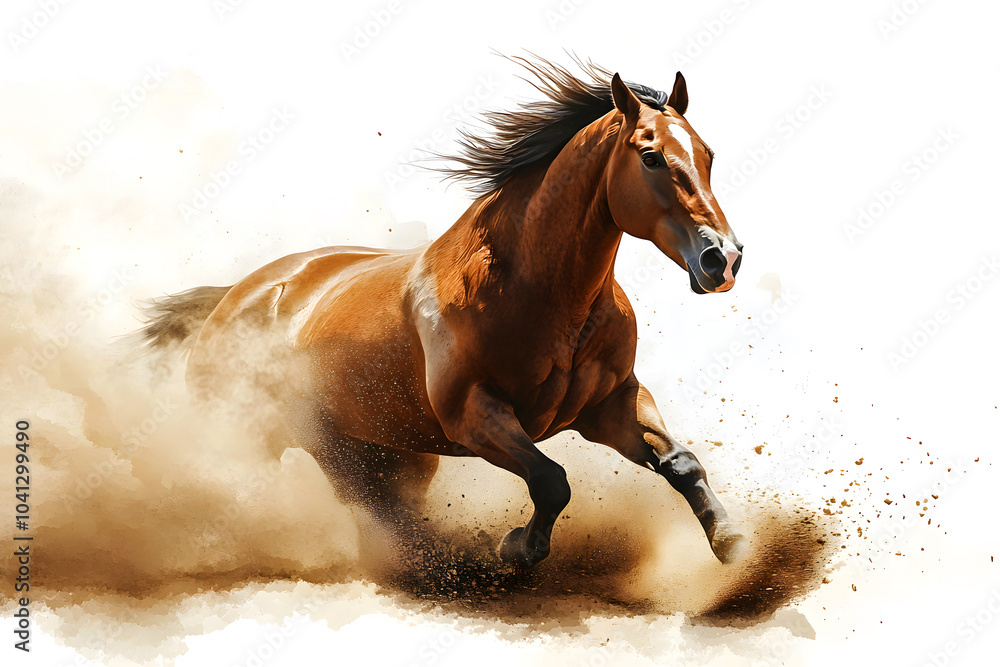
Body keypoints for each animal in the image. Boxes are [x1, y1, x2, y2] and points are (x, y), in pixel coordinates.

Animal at [139, 58, 745, 570]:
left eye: (710, 155)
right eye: (650, 155)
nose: (722, 257)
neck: (539, 293)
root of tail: (234, 296)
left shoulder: (611, 405)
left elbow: (682, 462)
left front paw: (733, 544)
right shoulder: (473, 416)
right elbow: (552, 479)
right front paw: (517, 547)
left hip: (384, 451)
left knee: (380, 509)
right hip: (274, 441)